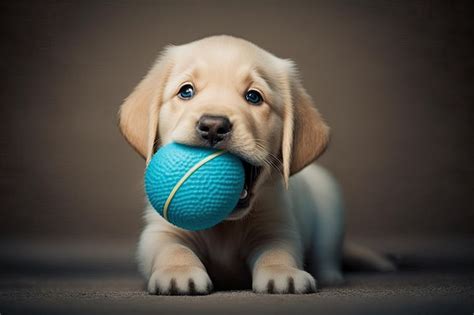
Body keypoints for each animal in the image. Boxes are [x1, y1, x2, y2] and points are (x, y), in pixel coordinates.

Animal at [117, 35, 392, 296]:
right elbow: (172, 249)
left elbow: (277, 252)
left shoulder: (277, 227)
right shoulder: (160, 231)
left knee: (327, 252)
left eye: (253, 96)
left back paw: (330, 276)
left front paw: (282, 272)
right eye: (186, 91)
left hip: (330, 202)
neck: (224, 225)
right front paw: (178, 272)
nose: (213, 125)